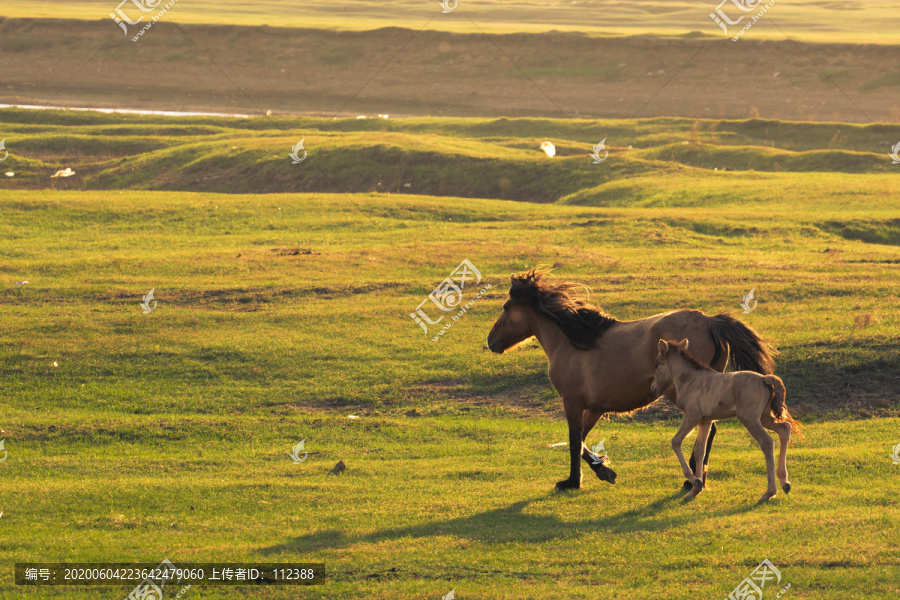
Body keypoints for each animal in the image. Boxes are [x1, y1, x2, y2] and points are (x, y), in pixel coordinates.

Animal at [488, 268, 776, 492]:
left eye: (505, 307)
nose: (491, 342)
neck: (573, 342)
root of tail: (709, 320)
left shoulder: (572, 402)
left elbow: (573, 440)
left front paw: (572, 482)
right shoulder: (594, 408)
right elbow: (581, 440)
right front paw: (603, 470)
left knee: (707, 431)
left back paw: (692, 480)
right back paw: (696, 478)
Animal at [648, 338, 800, 502]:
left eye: (656, 364)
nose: (653, 389)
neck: (690, 380)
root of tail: (764, 378)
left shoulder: (691, 416)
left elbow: (676, 441)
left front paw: (695, 480)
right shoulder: (705, 421)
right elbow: (699, 451)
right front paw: (696, 489)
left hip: (750, 418)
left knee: (767, 442)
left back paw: (769, 492)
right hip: (764, 417)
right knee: (784, 429)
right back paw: (785, 482)